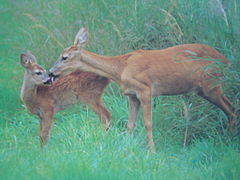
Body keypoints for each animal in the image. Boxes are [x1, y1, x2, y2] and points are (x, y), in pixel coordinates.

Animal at [49, 27, 236, 152]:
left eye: (64, 57)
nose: (50, 72)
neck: (121, 68)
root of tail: (226, 60)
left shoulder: (145, 90)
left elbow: (148, 123)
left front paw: (152, 150)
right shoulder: (132, 95)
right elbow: (130, 124)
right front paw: (125, 147)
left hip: (211, 84)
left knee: (231, 109)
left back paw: (228, 141)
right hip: (205, 89)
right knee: (231, 109)